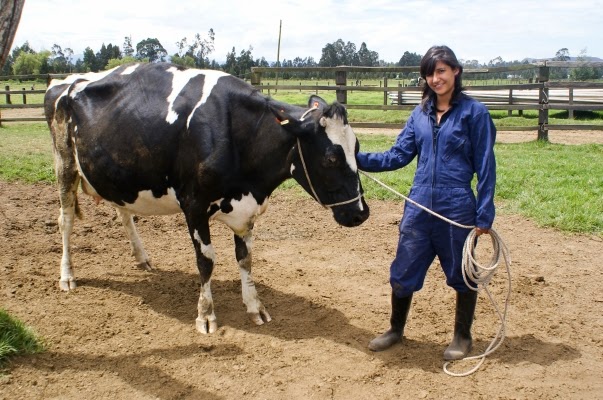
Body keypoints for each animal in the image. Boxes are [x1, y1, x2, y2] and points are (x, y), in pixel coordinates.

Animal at [43, 62, 368, 334]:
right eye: (330, 158)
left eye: (357, 149)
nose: (361, 213)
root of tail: (65, 81)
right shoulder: (194, 206)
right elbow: (206, 261)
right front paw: (206, 315)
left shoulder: (245, 211)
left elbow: (246, 258)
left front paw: (255, 306)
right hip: (64, 164)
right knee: (65, 220)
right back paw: (67, 275)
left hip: (115, 174)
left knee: (123, 211)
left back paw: (141, 257)